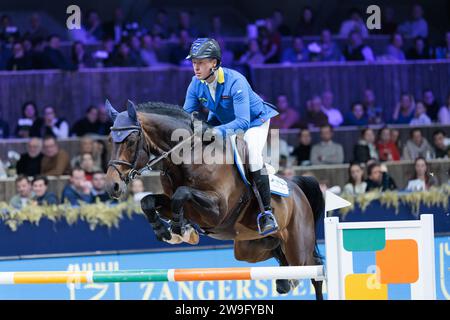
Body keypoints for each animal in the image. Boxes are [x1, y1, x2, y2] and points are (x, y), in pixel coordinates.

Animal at [104, 100, 326, 300]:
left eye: (131, 141)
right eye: (109, 140)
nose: (112, 186)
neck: (188, 156)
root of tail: (297, 188)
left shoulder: (217, 210)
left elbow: (181, 194)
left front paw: (178, 228)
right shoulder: (174, 203)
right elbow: (148, 201)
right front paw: (167, 231)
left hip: (299, 248)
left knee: (315, 269)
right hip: (249, 248)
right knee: (279, 253)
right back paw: (285, 282)